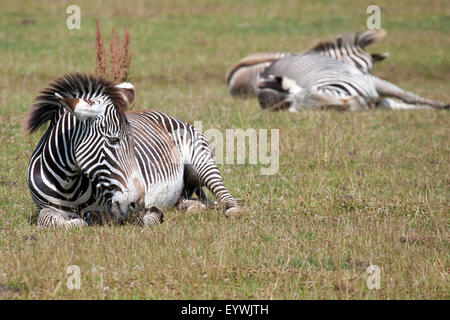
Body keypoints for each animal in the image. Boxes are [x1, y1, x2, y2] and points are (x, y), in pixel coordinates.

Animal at [26, 72, 244, 228]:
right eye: (113, 139)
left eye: (133, 141)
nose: (138, 201)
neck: (68, 185)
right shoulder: (44, 208)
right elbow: (51, 220)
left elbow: (138, 217)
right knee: (189, 201)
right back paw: (192, 207)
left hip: (201, 160)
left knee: (224, 195)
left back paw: (232, 209)